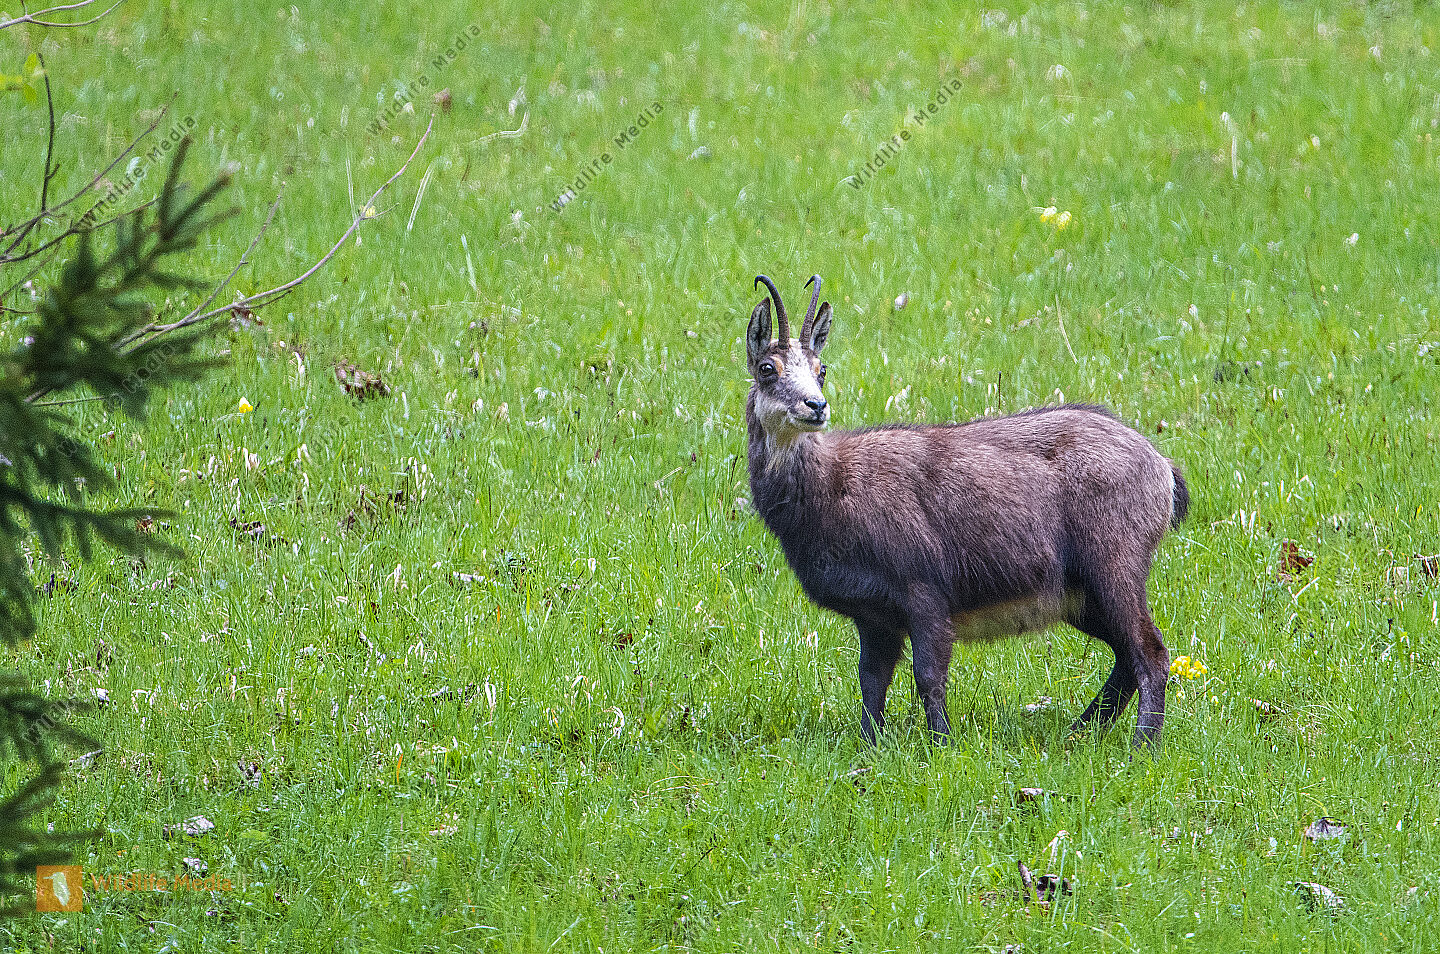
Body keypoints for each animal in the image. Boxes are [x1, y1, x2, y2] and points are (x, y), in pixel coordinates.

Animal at [743, 274, 1189, 749]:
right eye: (768, 368)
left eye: (821, 370)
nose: (815, 406)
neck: (831, 486)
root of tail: (1161, 468)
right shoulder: (875, 615)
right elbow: (871, 682)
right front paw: (871, 746)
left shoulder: (923, 590)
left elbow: (928, 676)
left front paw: (942, 745)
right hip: (1081, 594)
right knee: (1125, 658)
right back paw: (1080, 732)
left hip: (1114, 566)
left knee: (1150, 653)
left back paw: (1142, 746)